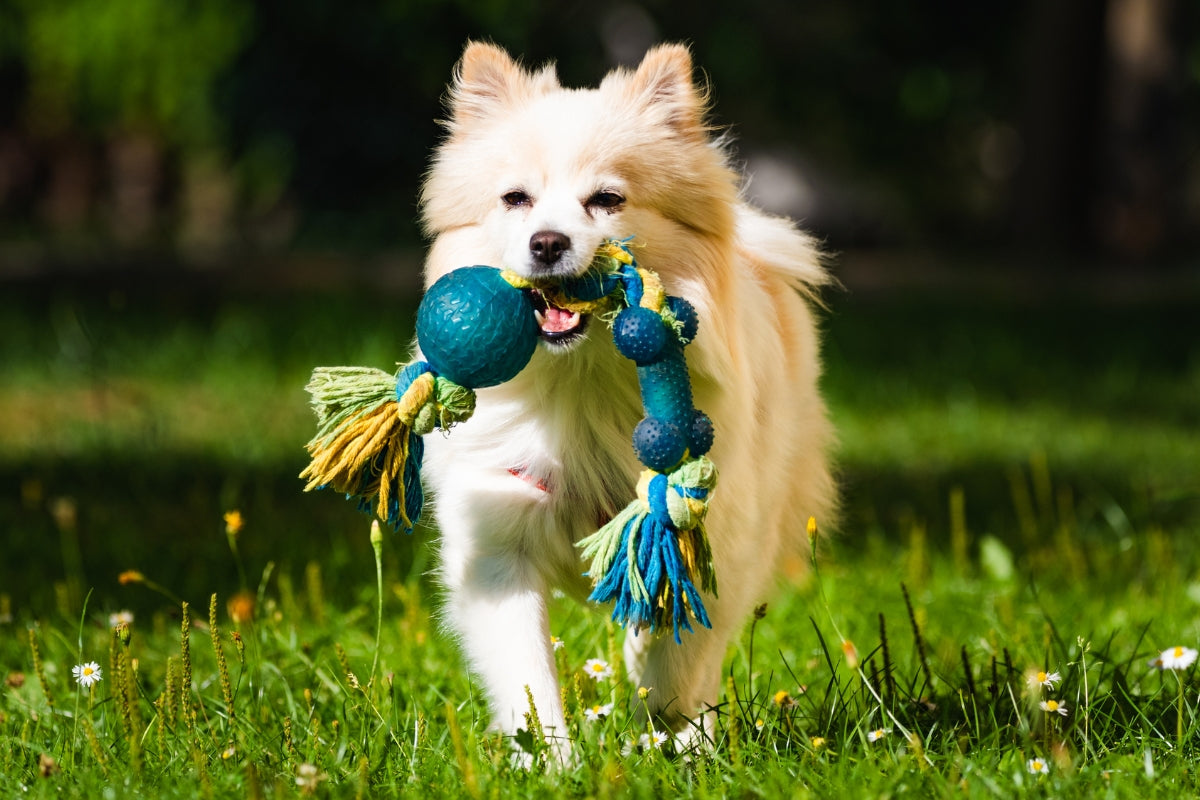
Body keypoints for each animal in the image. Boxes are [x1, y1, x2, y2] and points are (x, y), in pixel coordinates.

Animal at [415, 38, 835, 753]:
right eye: (516, 199)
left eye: (606, 199)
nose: (547, 242)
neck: (580, 383)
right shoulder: (498, 544)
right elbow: (529, 678)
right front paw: (552, 761)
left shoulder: (709, 537)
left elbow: (677, 653)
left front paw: (671, 739)